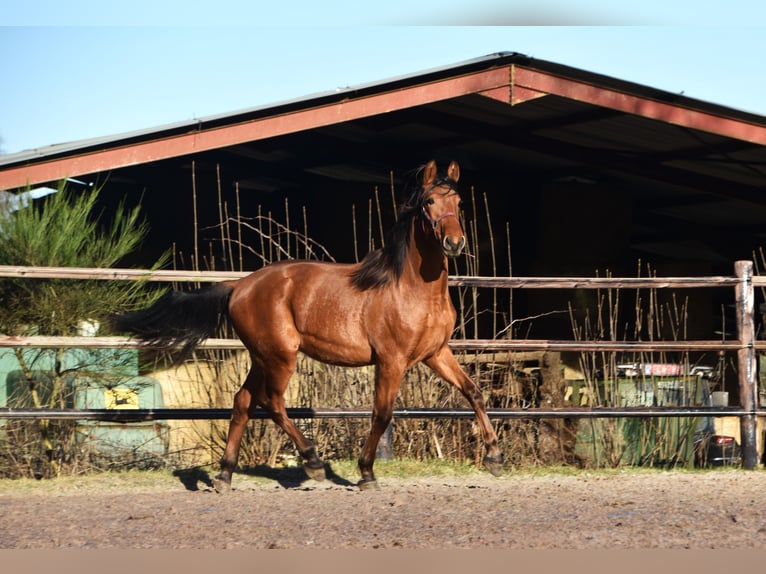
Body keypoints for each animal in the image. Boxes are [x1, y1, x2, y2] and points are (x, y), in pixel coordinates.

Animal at [112, 161, 504, 490]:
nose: (454, 243)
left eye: (458, 200)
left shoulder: (436, 353)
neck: (411, 289)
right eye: (430, 201)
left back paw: (224, 475)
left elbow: (473, 392)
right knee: (271, 402)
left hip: (262, 357)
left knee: (243, 401)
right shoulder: (391, 361)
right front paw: (366, 473)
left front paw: (494, 457)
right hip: (281, 356)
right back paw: (312, 461)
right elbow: (381, 414)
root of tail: (239, 286)